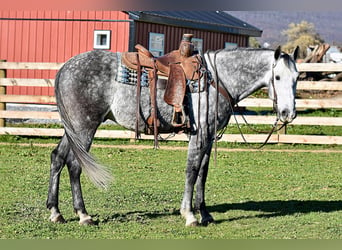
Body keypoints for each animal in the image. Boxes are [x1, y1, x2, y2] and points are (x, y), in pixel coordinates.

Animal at [46, 45, 298, 227]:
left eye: (297, 77)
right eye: (277, 77)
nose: (288, 113)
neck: (217, 80)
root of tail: (65, 68)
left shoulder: (208, 137)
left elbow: (203, 174)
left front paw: (205, 214)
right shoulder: (199, 136)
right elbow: (191, 171)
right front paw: (190, 216)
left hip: (72, 129)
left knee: (58, 157)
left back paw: (56, 212)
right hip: (84, 127)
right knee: (74, 164)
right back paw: (83, 215)